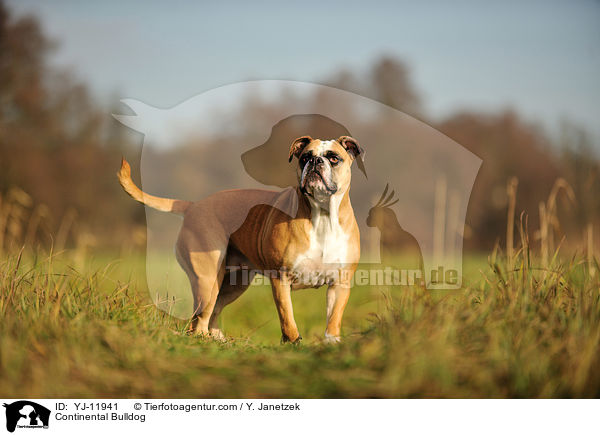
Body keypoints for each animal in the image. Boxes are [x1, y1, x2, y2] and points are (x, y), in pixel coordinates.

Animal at [116, 135, 360, 342]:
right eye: (305, 158)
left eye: (334, 158)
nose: (316, 161)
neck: (323, 215)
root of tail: (194, 206)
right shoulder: (281, 278)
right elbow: (287, 318)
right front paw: (293, 343)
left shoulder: (340, 283)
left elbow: (334, 318)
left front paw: (331, 343)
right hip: (207, 278)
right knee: (200, 318)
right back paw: (204, 339)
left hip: (234, 283)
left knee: (213, 310)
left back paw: (218, 339)